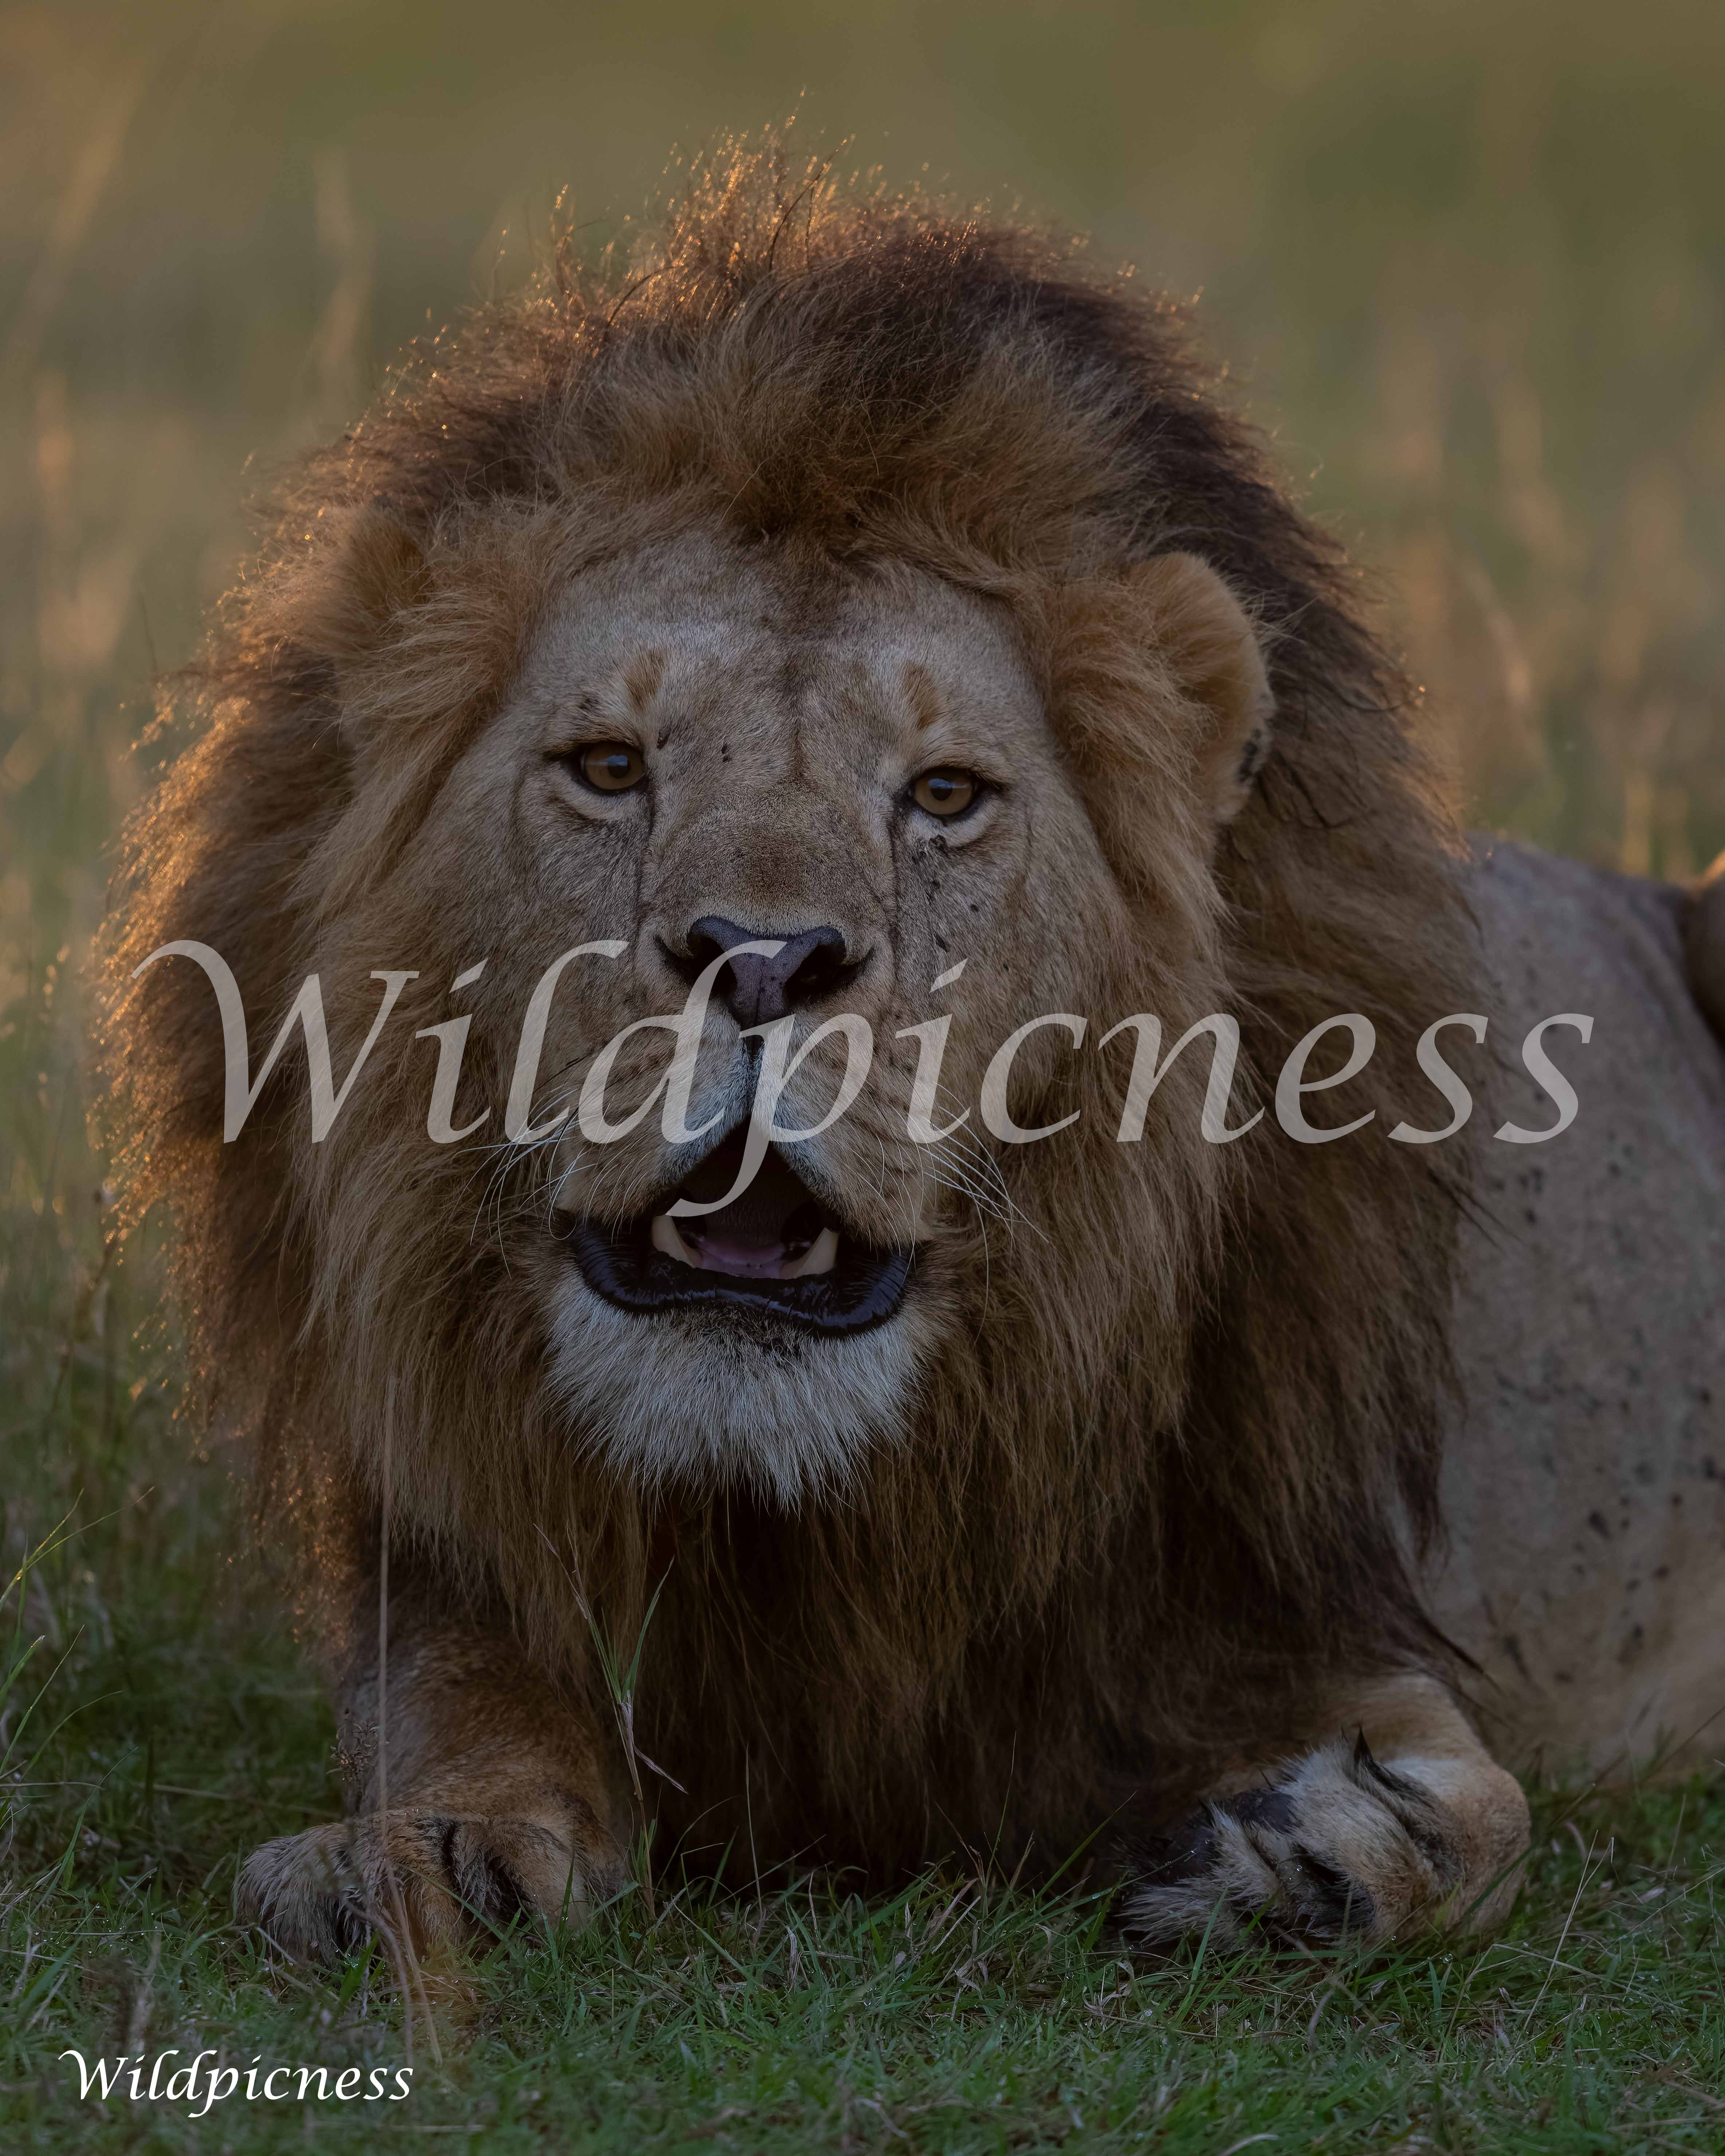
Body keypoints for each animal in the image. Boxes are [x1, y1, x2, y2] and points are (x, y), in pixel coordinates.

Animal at [97, 141, 1725, 1962]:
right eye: (609, 767)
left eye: (943, 794)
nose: (760, 958)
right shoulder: (452, 1552)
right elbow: (455, 1716)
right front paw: (422, 1860)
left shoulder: (1287, 1583)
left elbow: (1482, 1819)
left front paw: (1322, 1845)